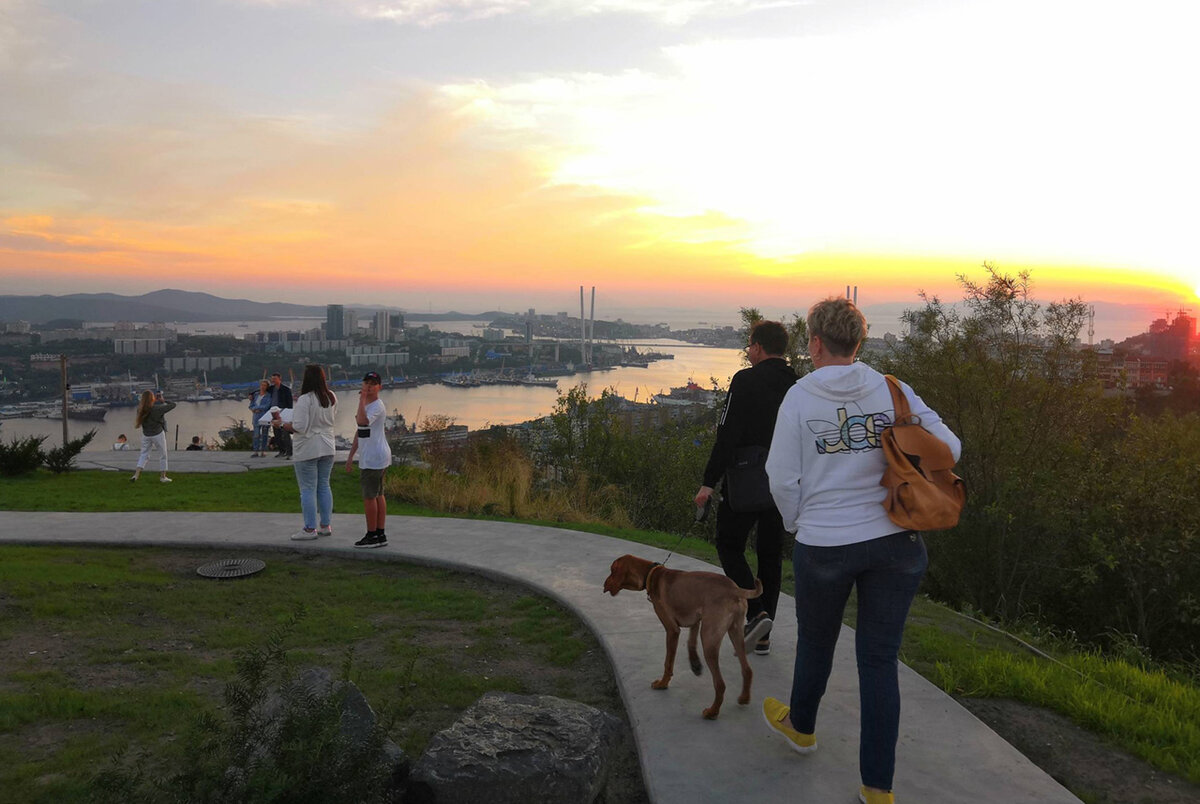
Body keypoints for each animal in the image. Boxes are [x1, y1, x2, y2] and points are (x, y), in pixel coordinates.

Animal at [604, 556, 763, 720]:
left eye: (612, 570)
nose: (604, 585)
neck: (652, 574)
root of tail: (734, 588)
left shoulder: (672, 630)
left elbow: (668, 662)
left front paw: (663, 683)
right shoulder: (696, 619)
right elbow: (690, 642)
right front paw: (695, 665)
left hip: (709, 640)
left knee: (720, 684)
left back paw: (712, 712)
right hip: (735, 633)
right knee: (747, 670)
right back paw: (744, 698)